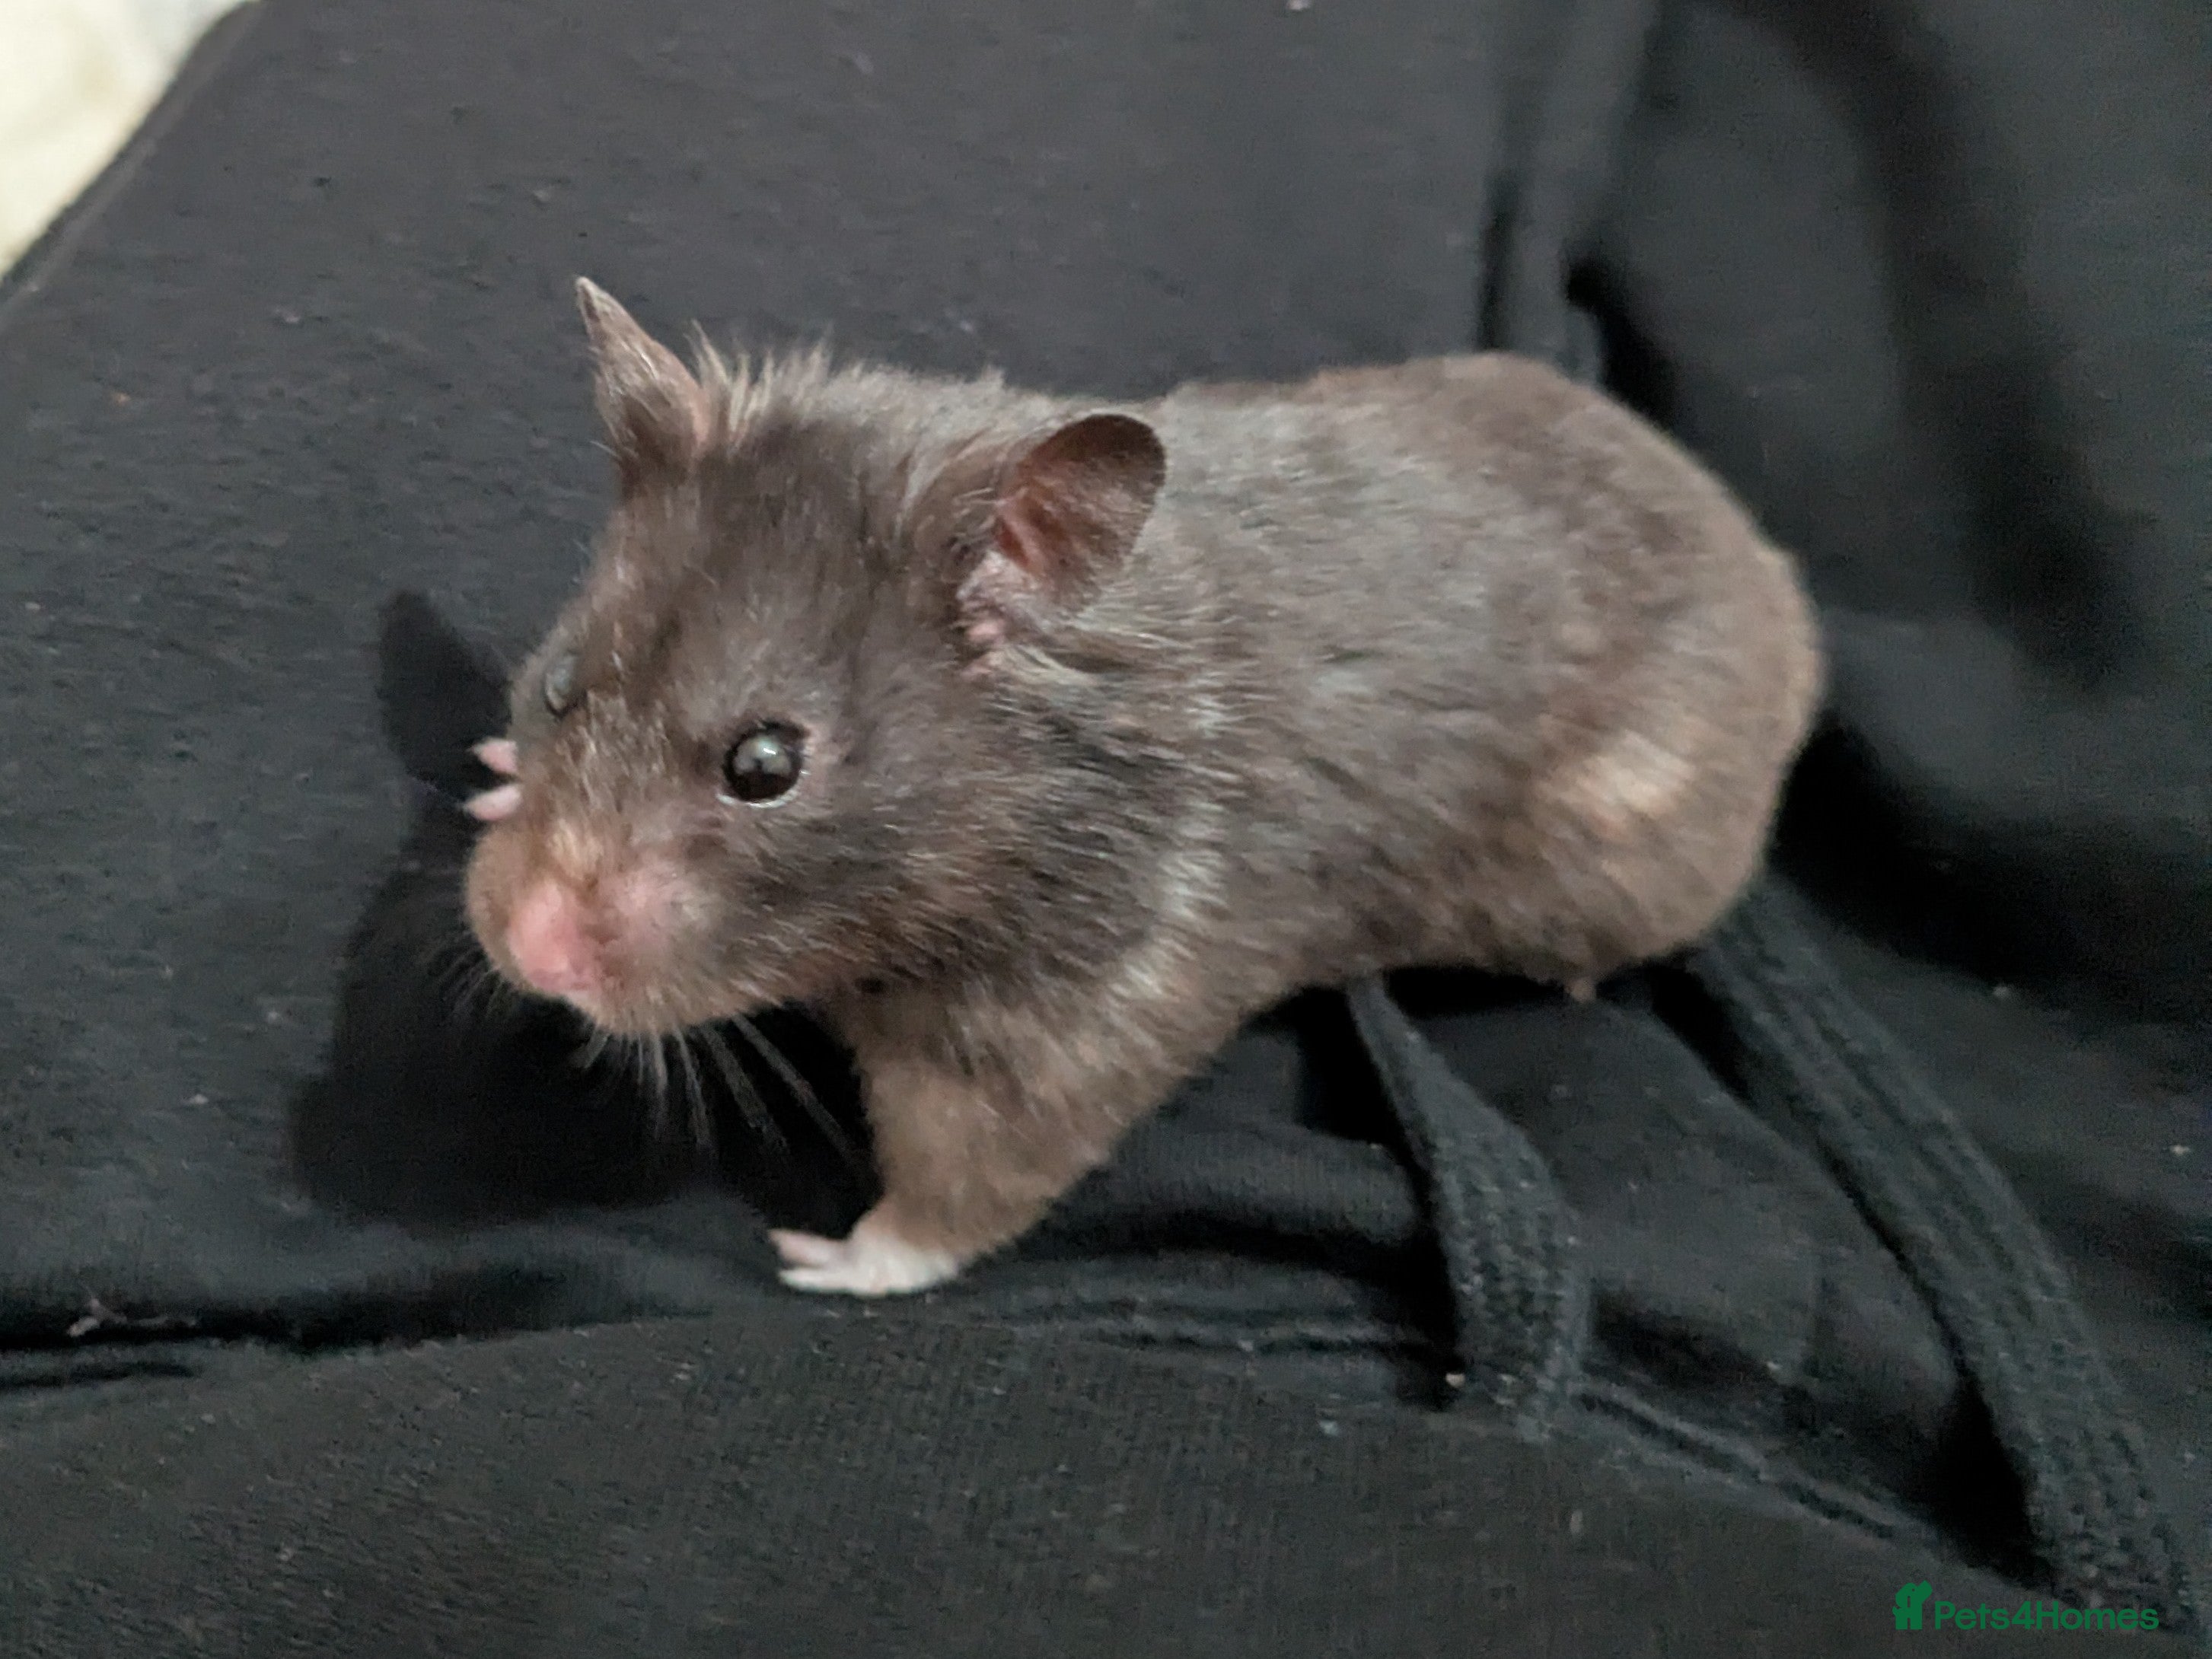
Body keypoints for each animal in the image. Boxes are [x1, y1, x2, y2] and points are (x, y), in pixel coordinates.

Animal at [462, 277, 1824, 1297]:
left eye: (765, 764)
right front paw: (491, 778)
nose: (529, 952)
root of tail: (1777, 587)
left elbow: (965, 1185)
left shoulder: (1080, 1015)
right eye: (561, 684)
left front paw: (818, 1257)